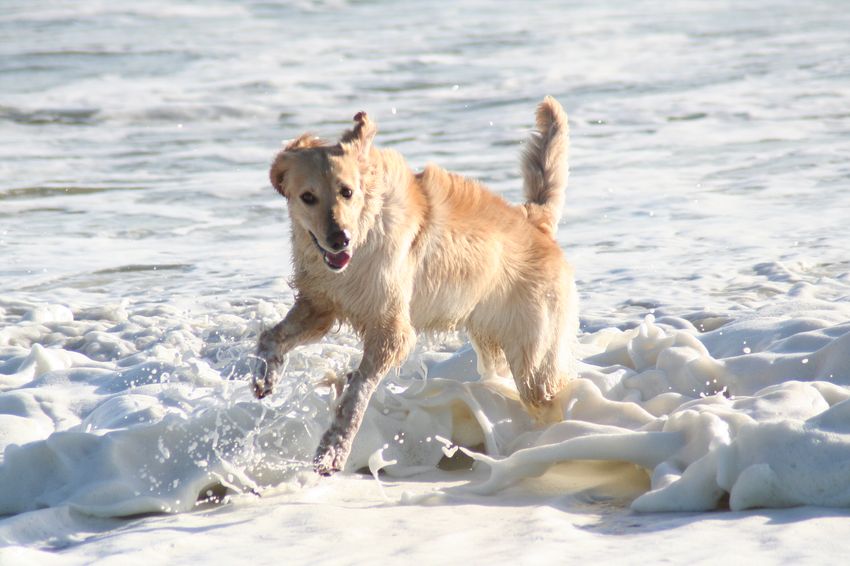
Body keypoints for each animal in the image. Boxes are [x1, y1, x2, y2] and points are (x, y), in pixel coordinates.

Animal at [253, 96, 578, 475]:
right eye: (308, 197)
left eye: (347, 192)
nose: (339, 239)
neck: (366, 232)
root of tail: (534, 221)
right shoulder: (320, 306)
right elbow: (271, 336)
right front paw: (265, 376)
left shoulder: (391, 329)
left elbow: (357, 392)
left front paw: (333, 449)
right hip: (490, 341)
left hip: (534, 357)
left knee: (548, 391)